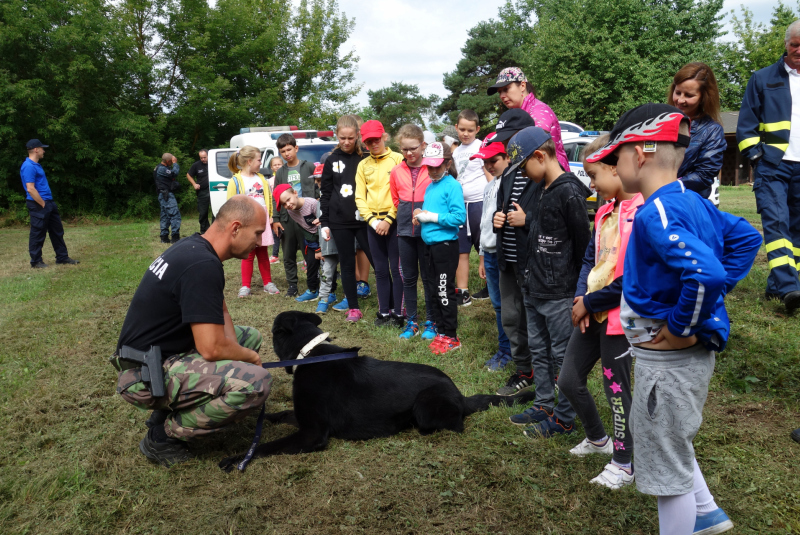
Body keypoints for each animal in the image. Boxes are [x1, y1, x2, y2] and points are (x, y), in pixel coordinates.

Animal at [217, 310, 536, 474]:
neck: (309, 354)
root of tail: (459, 394)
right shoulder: (306, 419)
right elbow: (282, 413)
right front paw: (266, 417)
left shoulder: (313, 433)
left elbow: (264, 446)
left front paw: (236, 458)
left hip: (426, 408)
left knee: (452, 425)